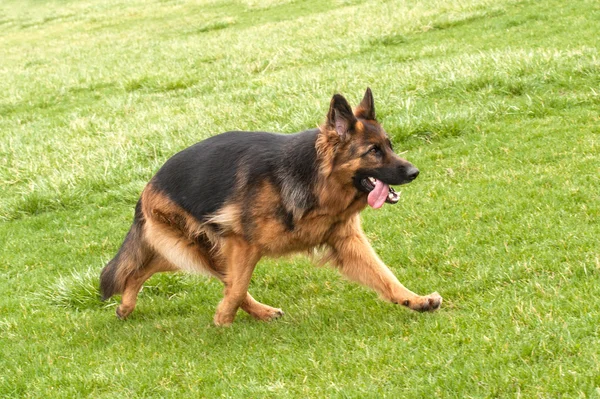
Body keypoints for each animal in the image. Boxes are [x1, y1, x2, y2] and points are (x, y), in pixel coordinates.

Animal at [99, 89, 440, 326]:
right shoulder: (242, 243)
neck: (315, 180)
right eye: (373, 151)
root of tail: (149, 185)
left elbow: (385, 276)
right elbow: (237, 287)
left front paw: (415, 300)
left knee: (147, 269)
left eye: (390, 146)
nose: (414, 172)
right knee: (144, 270)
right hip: (195, 247)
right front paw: (222, 322)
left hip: (198, 249)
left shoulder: (346, 241)